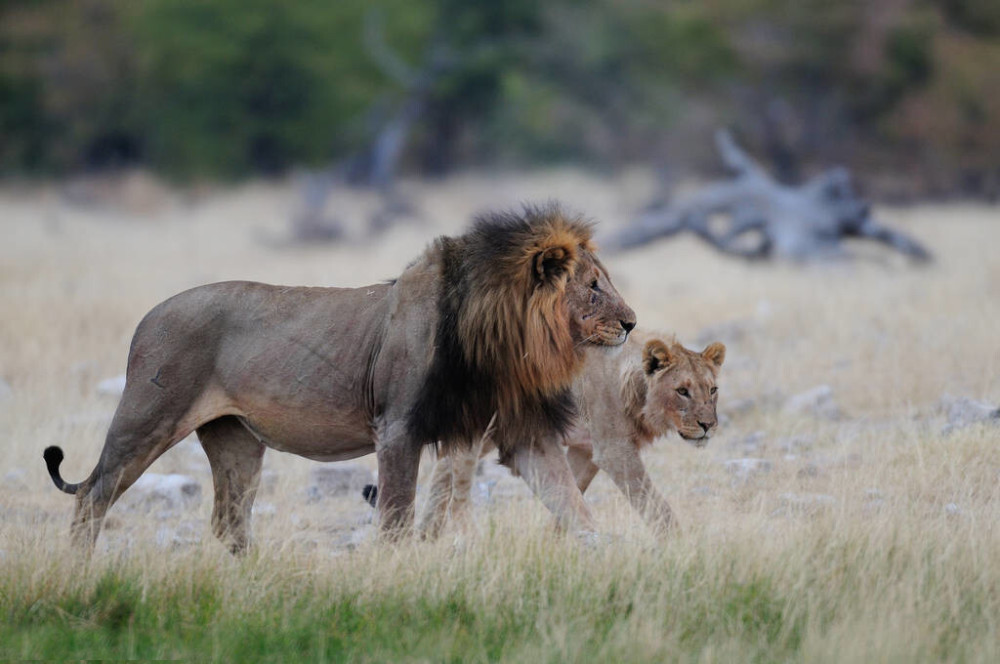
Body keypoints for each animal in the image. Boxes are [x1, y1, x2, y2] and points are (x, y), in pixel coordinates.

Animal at [45, 205, 632, 552]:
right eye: (593, 286)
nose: (631, 323)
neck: (506, 341)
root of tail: (147, 317)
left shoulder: (522, 433)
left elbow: (572, 505)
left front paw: (602, 555)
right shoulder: (397, 428)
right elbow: (396, 519)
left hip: (235, 439)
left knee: (230, 520)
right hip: (147, 418)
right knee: (92, 495)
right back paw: (79, 572)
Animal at [410, 334, 724, 536]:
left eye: (712, 389)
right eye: (682, 391)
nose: (708, 425)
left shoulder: (586, 449)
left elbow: (569, 492)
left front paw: (555, 544)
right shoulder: (614, 450)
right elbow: (655, 505)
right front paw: (680, 547)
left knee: (443, 472)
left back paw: (425, 538)